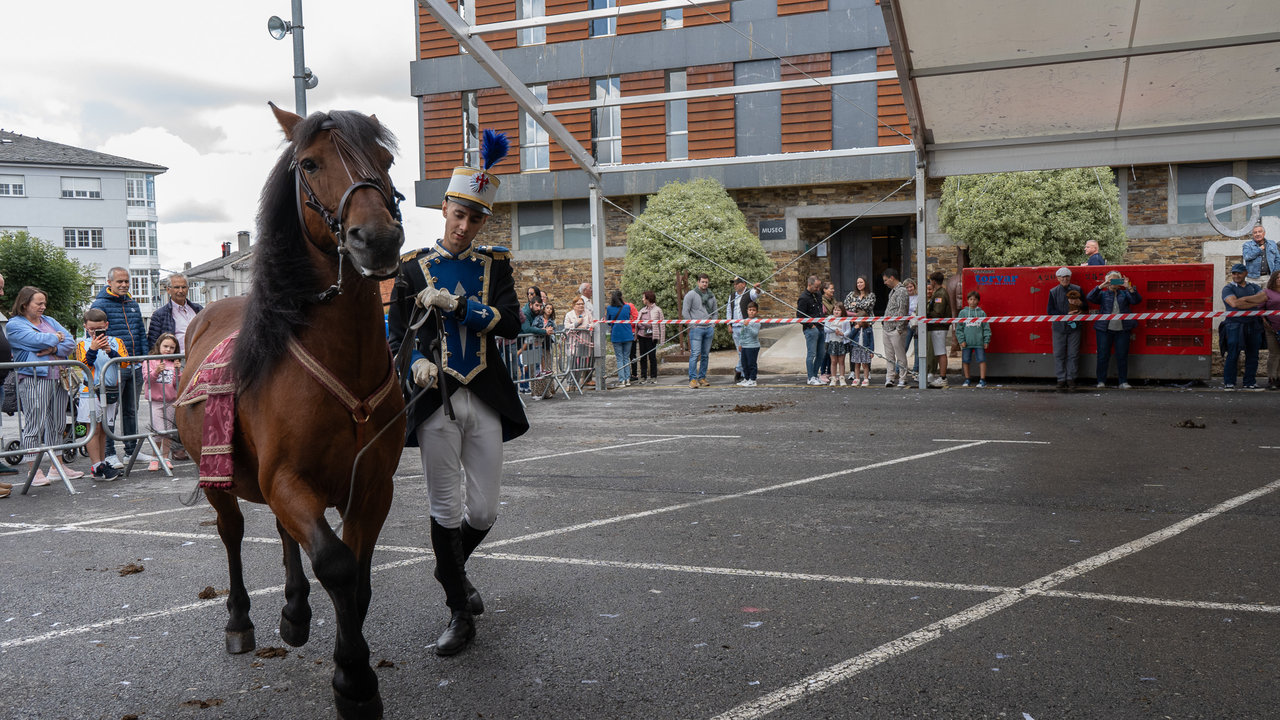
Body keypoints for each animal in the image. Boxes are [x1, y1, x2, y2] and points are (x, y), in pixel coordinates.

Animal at [175, 102, 404, 717]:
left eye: (386, 158)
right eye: (310, 163)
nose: (378, 238)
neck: (343, 362)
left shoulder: (372, 484)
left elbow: (359, 577)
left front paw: (346, 656)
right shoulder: (287, 479)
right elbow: (337, 565)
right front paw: (354, 680)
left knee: (282, 533)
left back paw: (295, 612)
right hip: (221, 478)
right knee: (232, 532)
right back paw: (240, 621)